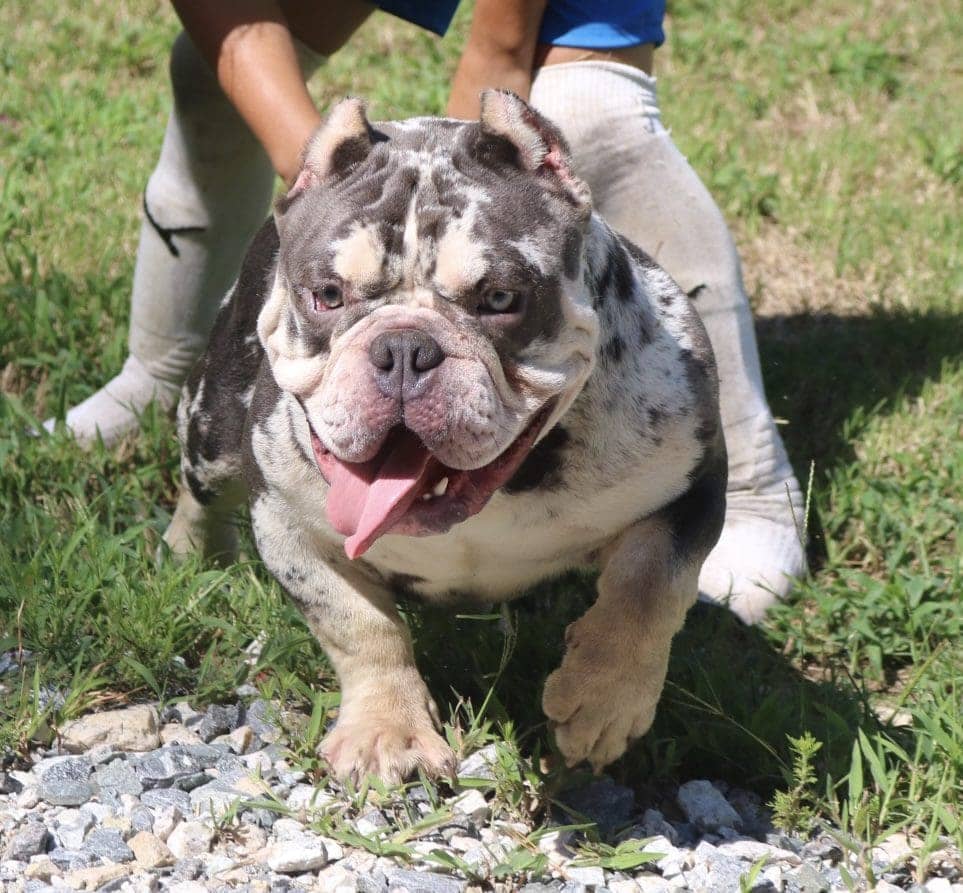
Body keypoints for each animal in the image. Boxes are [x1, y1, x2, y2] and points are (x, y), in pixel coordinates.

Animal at [164, 90, 724, 780]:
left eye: (501, 298)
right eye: (327, 296)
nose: (404, 348)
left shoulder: (689, 486)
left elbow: (649, 588)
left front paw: (601, 702)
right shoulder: (288, 526)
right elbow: (360, 626)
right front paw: (387, 731)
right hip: (210, 425)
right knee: (201, 487)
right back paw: (190, 555)